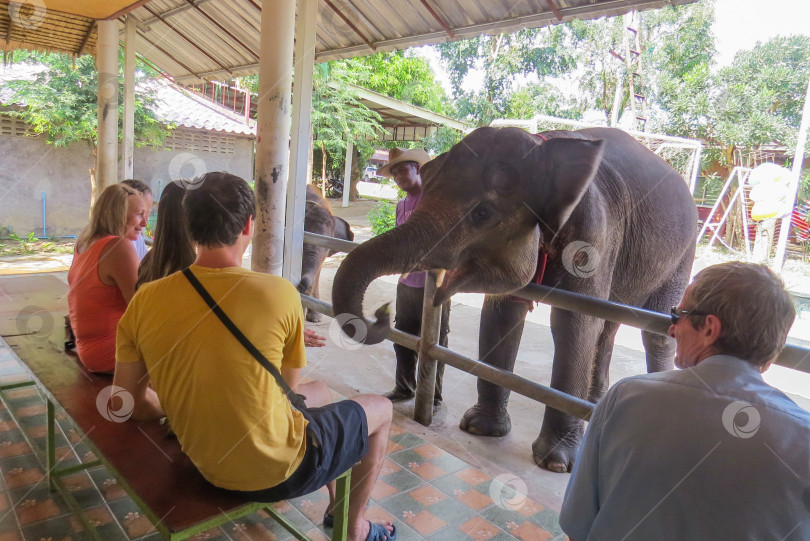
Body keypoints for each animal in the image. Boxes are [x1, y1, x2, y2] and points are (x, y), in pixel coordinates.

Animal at [332, 126, 696, 472]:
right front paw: (479, 429)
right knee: (607, 331)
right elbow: (501, 313)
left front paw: (555, 463)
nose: (381, 311)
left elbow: (574, 324)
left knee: (653, 332)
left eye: (482, 214)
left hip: (683, 254)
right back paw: (596, 405)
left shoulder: (595, 236)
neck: (543, 146)